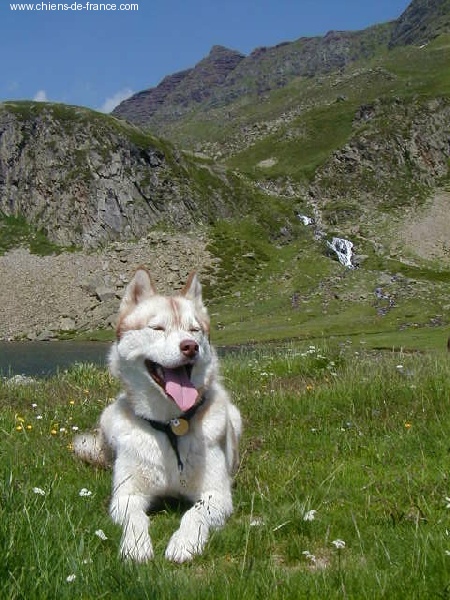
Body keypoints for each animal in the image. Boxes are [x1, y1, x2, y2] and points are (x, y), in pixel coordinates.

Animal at [74, 268, 243, 564]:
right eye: (157, 328)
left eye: (194, 330)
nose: (190, 347)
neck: (171, 425)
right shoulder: (126, 495)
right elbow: (136, 518)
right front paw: (135, 546)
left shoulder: (217, 494)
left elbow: (194, 513)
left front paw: (184, 542)